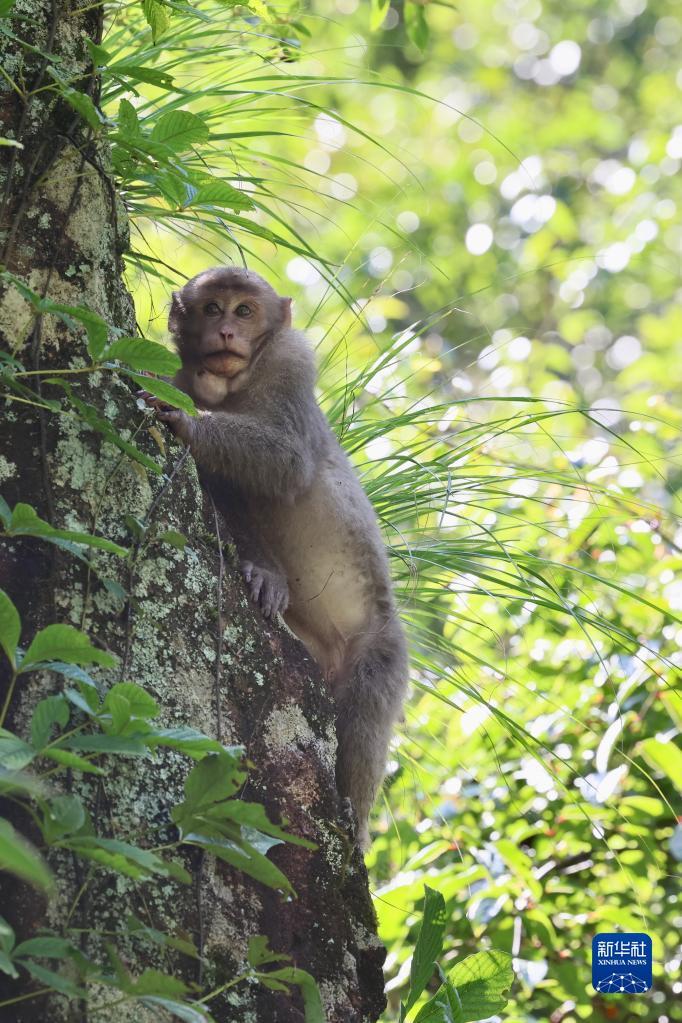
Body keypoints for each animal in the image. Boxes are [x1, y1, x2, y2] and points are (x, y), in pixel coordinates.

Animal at [139, 263, 404, 847]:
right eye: (212, 308)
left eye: (244, 311)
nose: (226, 332)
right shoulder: (179, 376)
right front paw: (266, 573)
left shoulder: (290, 359)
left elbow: (287, 460)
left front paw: (190, 423)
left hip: (382, 651)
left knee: (366, 714)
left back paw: (354, 819)